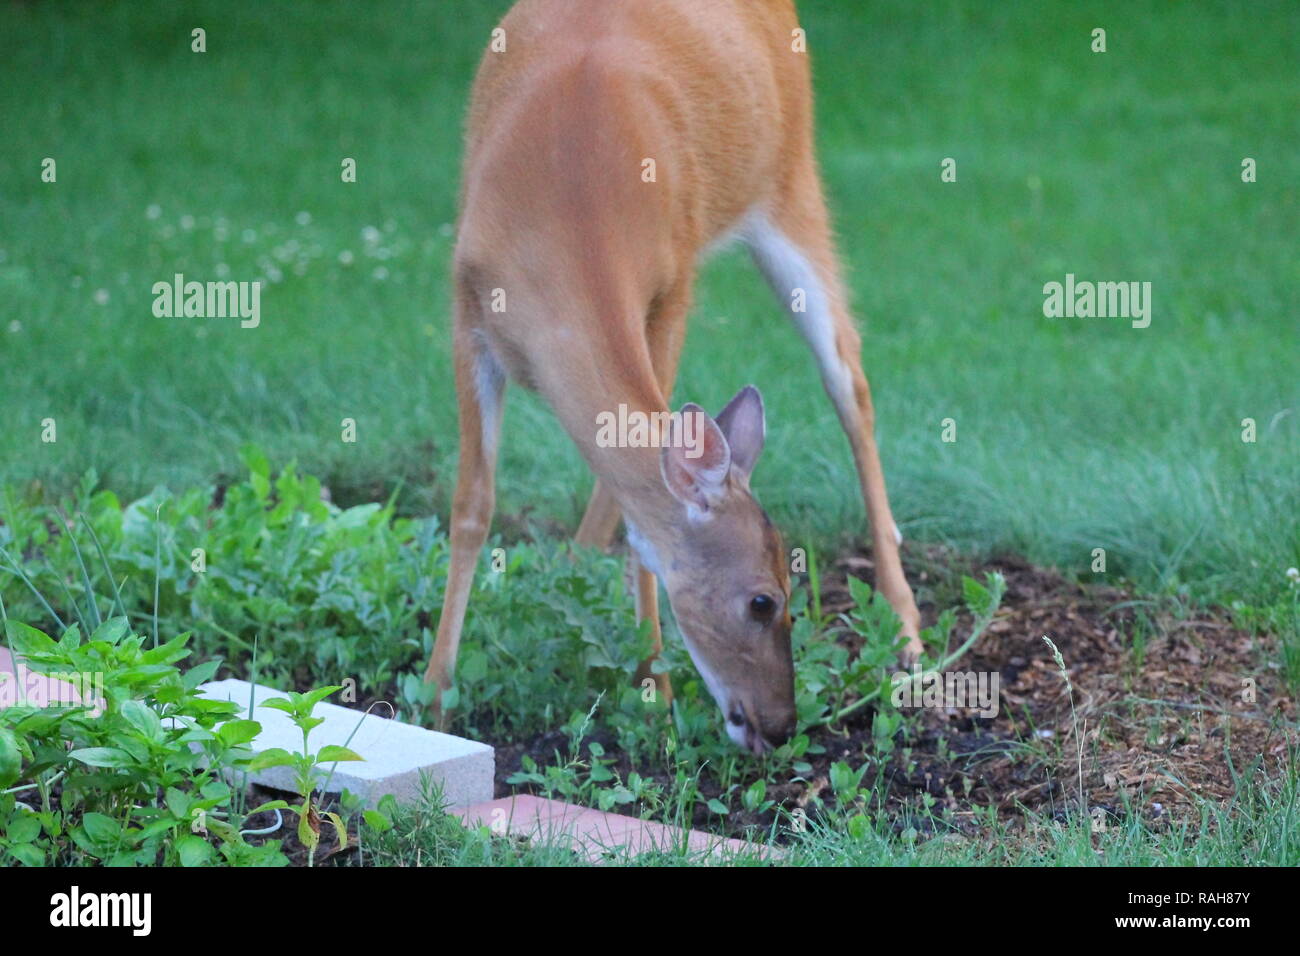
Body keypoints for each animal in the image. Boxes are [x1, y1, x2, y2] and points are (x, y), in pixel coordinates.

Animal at [424, 0, 922, 755]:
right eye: (763, 600)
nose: (781, 726)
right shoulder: (466, 305)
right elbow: (473, 505)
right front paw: (435, 695)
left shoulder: (673, 285)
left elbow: (633, 514)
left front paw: (653, 697)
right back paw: (567, 577)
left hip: (792, 186)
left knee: (851, 384)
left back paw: (907, 628)